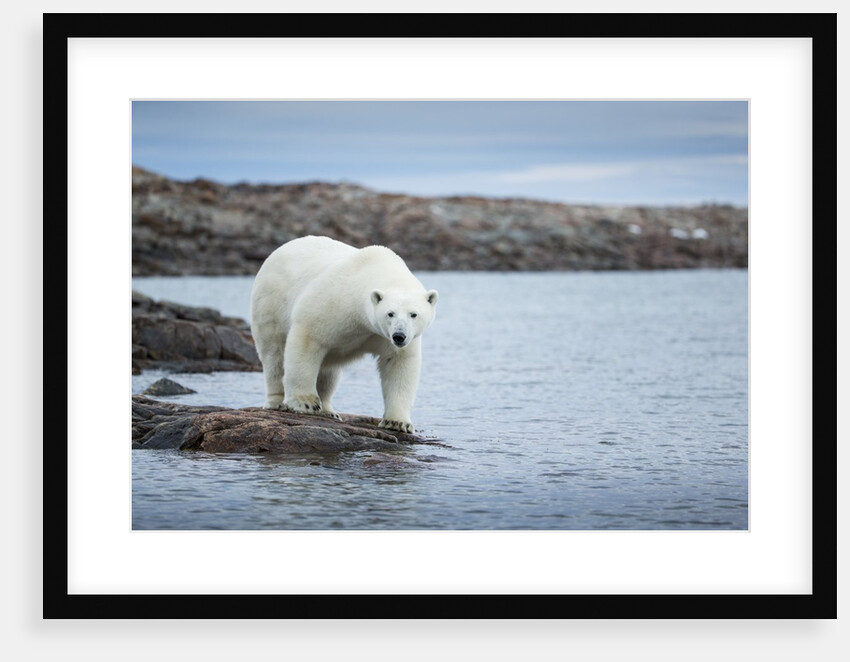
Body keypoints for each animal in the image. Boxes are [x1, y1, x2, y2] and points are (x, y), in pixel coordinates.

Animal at [250, 235, 439, 433]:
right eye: (390, 313)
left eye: (414, 314)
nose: (399, 336)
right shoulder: (333, 301)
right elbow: (307, 340)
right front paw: (305, 403)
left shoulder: (385, 336)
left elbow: (398, 363)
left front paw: (398, 422)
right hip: (271, 302)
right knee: (274, 354)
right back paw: (278, 402)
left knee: (328, 371)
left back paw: (328, 411)